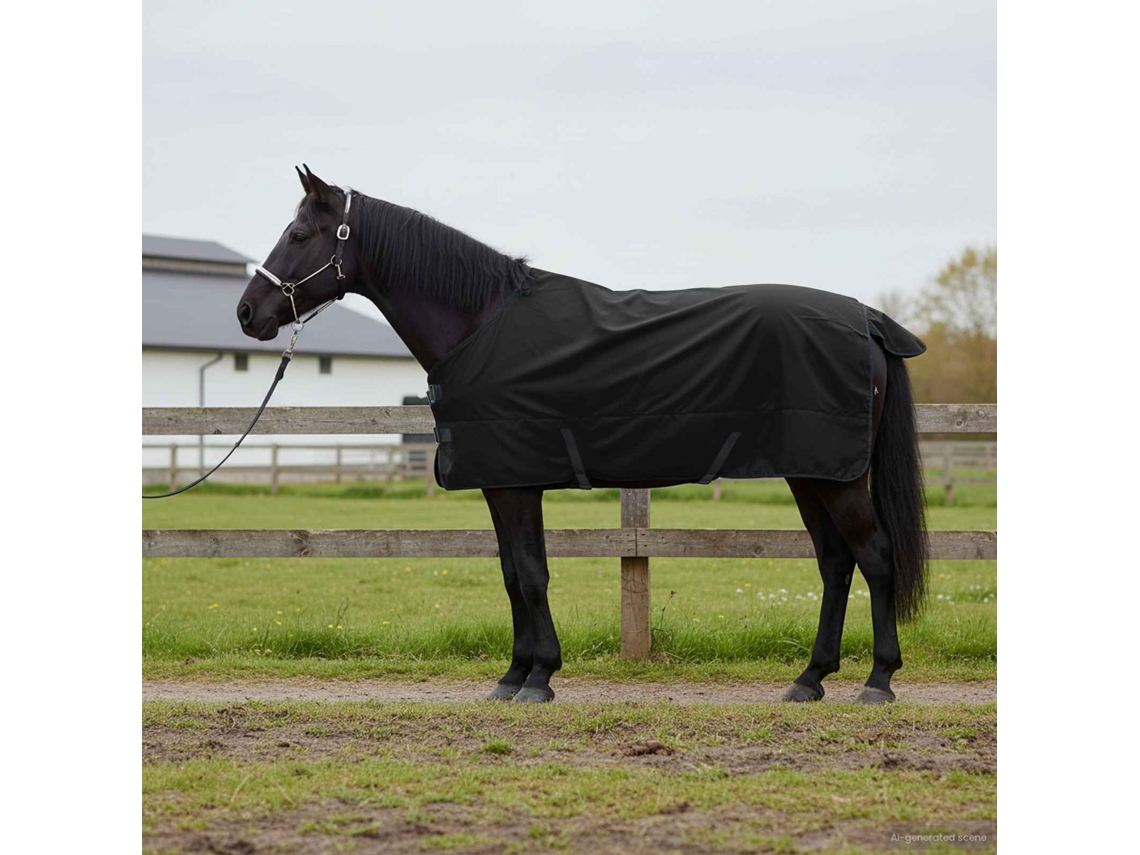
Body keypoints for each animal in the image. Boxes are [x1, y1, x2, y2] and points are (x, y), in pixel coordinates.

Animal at [237, 165, 929, 705]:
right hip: (811, 473)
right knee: (835, 562)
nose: (248, 313)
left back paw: (878, 681)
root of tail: (866, 319)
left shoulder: (516, 484)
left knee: (875, 556)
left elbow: (531, 575)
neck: (479, 323)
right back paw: (810, 679)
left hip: (835, 478)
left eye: (298, 234)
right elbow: (513, 573)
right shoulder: (503, 483)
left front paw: (538, 677)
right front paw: (514, 675)